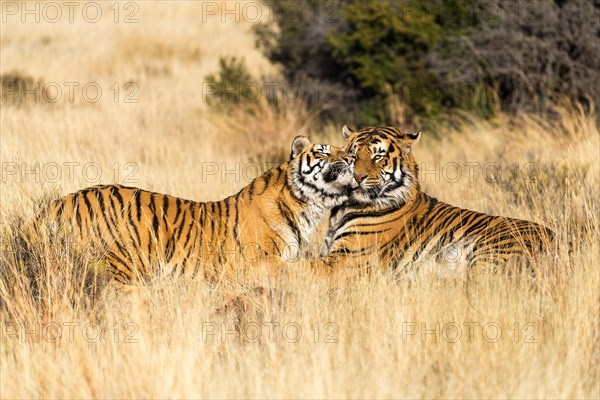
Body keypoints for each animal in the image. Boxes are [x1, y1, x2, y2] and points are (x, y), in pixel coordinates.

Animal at [37, 138, 354, 284]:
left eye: (344, 148)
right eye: (324, 151)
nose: (351, 158)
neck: (305, 206)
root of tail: (56, 203)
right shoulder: (253, 264)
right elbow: (298, 270)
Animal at [322, 125, 556, 276]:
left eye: (378, 156)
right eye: (352, 156)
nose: (357, 177)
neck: (344, 207)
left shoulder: (348, 257)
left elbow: (312, 269)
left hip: (487, 255)